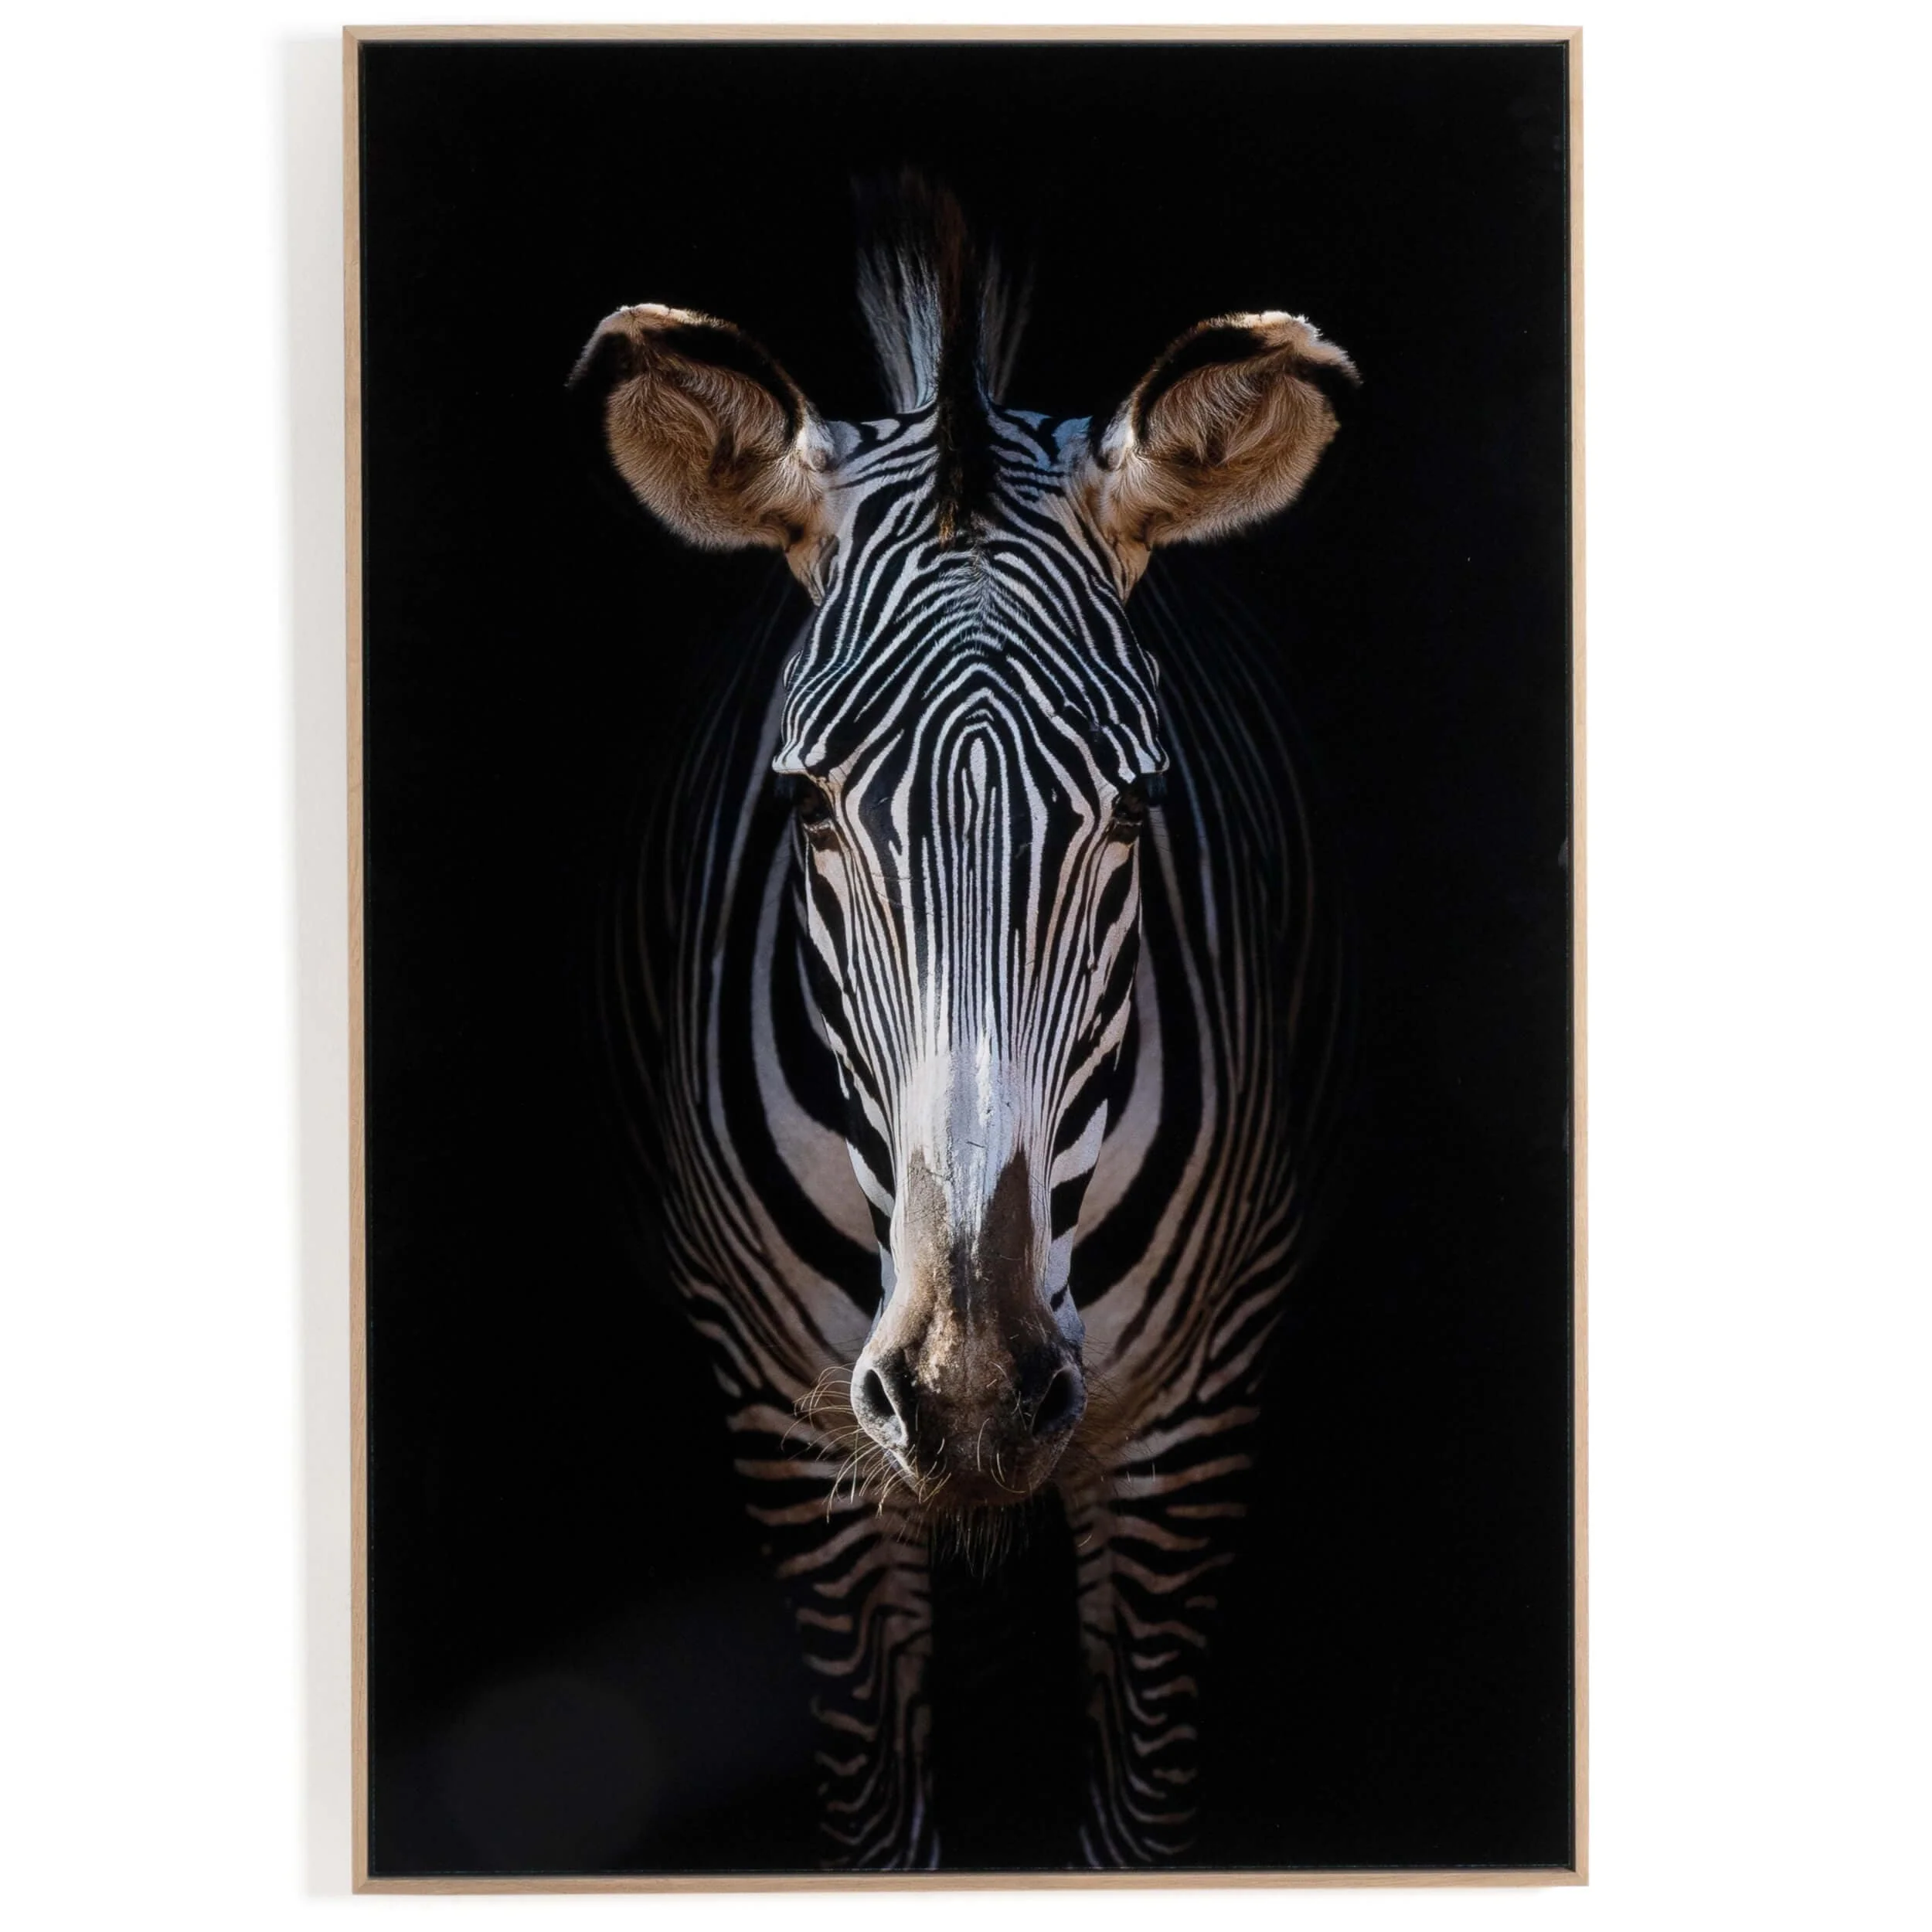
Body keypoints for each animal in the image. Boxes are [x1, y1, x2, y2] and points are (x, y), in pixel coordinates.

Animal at [573, 183, 1355, 1869]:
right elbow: (882, 1823)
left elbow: (1135, 1819)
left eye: (1136, 807)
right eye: (805, 807)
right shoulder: (791, 1433)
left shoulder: (1189, 1425)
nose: (968, 1384)